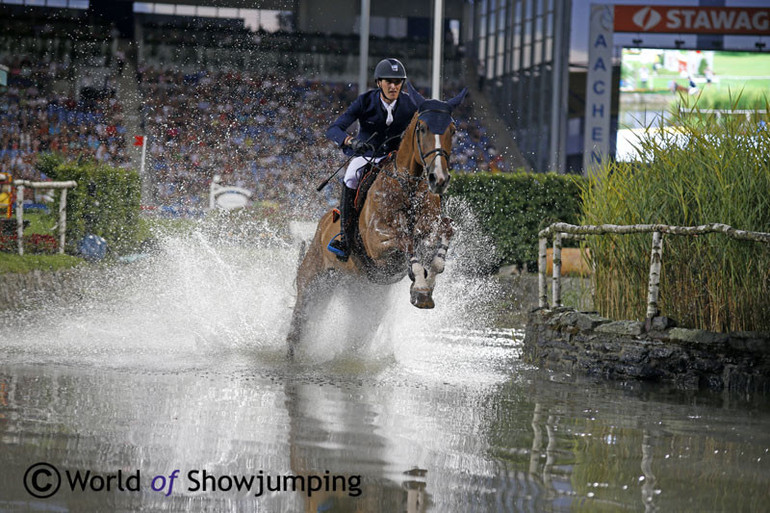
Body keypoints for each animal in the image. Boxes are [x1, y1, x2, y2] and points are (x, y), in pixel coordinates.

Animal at [284, 85, 468, 356]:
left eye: (452, 130)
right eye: (422, 128)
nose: (439, 179)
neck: (408, 187)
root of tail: (318, 228)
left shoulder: (434, 226)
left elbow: (443, 237)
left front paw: (424, 288)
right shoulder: (377, 242)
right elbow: (405, 239)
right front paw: (420, 285)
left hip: (364, 295)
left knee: (358, 333)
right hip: (312, 283)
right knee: (298, 325)